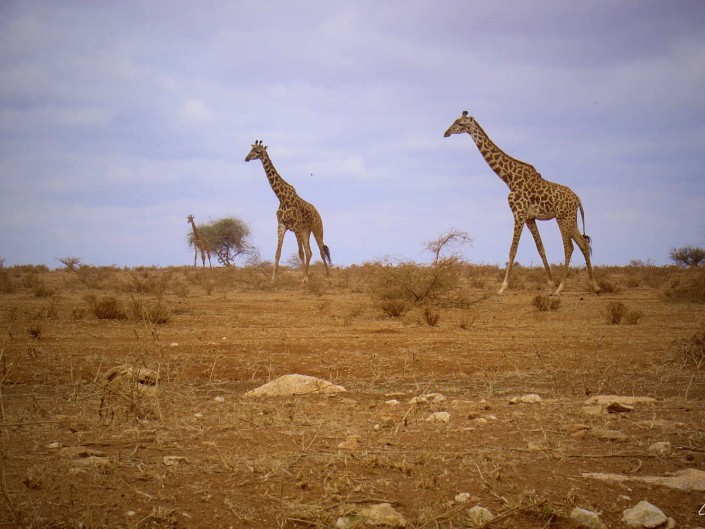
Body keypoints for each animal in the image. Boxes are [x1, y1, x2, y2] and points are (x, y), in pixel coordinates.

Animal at [245, 138, 332, 282]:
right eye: (251, 149)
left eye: (258, 151)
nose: (246, 158)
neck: (282, 198)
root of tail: (317, 213)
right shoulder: (281, 225)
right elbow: (277, 253)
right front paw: (273, 280)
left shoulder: (296, 226)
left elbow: (300, 253)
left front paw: (304, 280)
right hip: (305, 230)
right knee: (310, 252)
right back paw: (309, 278)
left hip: (317, 228)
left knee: (321, 251)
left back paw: (328, 277)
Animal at [442, 110, 596, 294]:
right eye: (455, 121)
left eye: (460, 124)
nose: (446, 133)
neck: (509, 178)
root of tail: (578, 199)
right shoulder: (530, 218)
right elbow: (541, 249)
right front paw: (550, 284)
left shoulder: (519, 214)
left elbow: (512, 250)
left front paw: (502, 288)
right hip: (571, 219)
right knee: (583, 244)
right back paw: (594, 285)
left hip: (563, 218)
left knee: (569, 247)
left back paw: (561, 288)